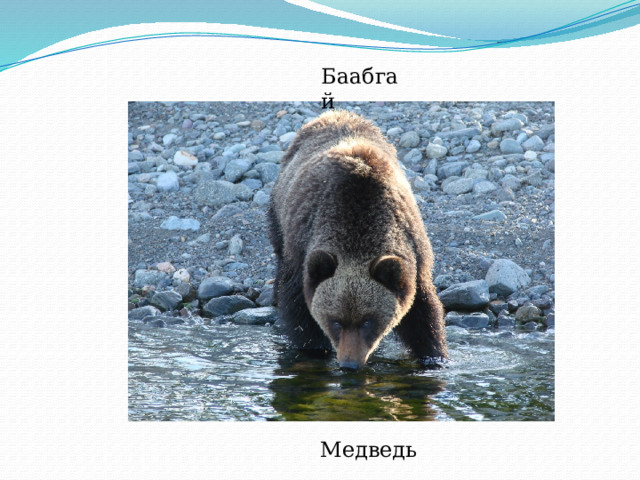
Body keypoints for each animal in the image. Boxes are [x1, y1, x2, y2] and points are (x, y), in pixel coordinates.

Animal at [268, 110, 447, 370]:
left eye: (367, 321)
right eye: (336, 321)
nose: (349, 364)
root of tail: (334, 113)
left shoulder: (415, 254)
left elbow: (423, 312)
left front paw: (434, 355)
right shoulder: (302, 249)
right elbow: (300, 310)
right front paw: (312, 350)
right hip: (280, 213)